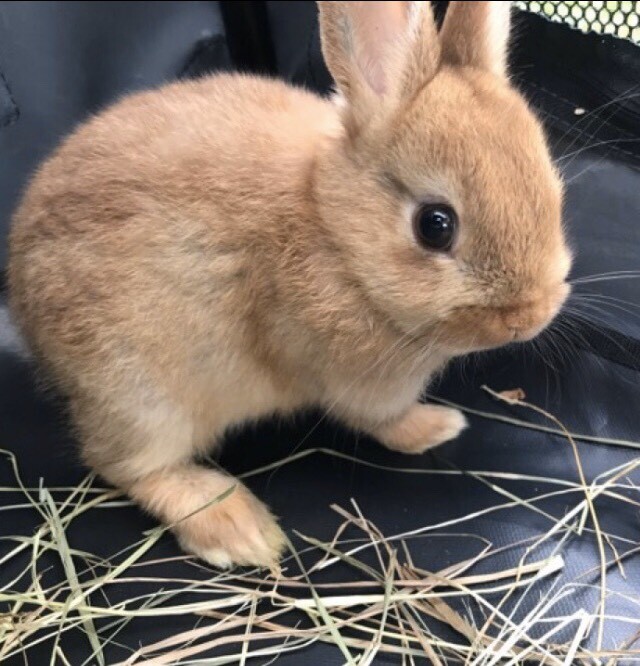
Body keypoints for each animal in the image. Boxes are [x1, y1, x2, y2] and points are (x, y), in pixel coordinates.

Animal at [7, 1, 572, 569]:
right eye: (435, 225)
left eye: (553, 191)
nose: (529, 317)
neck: (334, 231)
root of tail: (23, 309)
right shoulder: (361, 385)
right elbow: (385, 421)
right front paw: (439, 426)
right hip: (139, 397)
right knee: (127, 466)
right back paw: (238, 529)